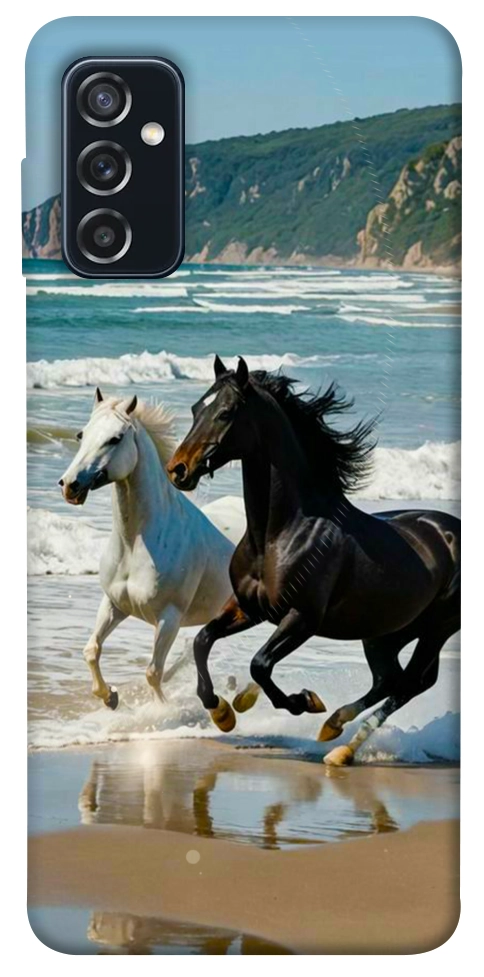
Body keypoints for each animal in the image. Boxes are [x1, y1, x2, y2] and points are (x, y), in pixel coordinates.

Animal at [59, 388, 234, 709]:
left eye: (115, 438)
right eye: (81, 434)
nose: (69, 485)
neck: (135, 544)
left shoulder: (169, 618)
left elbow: (153, 672)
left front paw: (161, 711)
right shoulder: (114, 604)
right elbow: (91, 650)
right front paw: (110, 697)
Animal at [166, 356, 460, 765]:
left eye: (225, 413)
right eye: (197, 409)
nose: (177, 469)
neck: (280, 534)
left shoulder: (302, 618)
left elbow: (260, 664)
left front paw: (303, 701)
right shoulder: (248, 608)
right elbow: (202, 640)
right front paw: (223, 711)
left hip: (436, 628)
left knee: (411, 683)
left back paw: (341, 746)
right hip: (386, 632)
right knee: (390, 679)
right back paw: (334, 729)